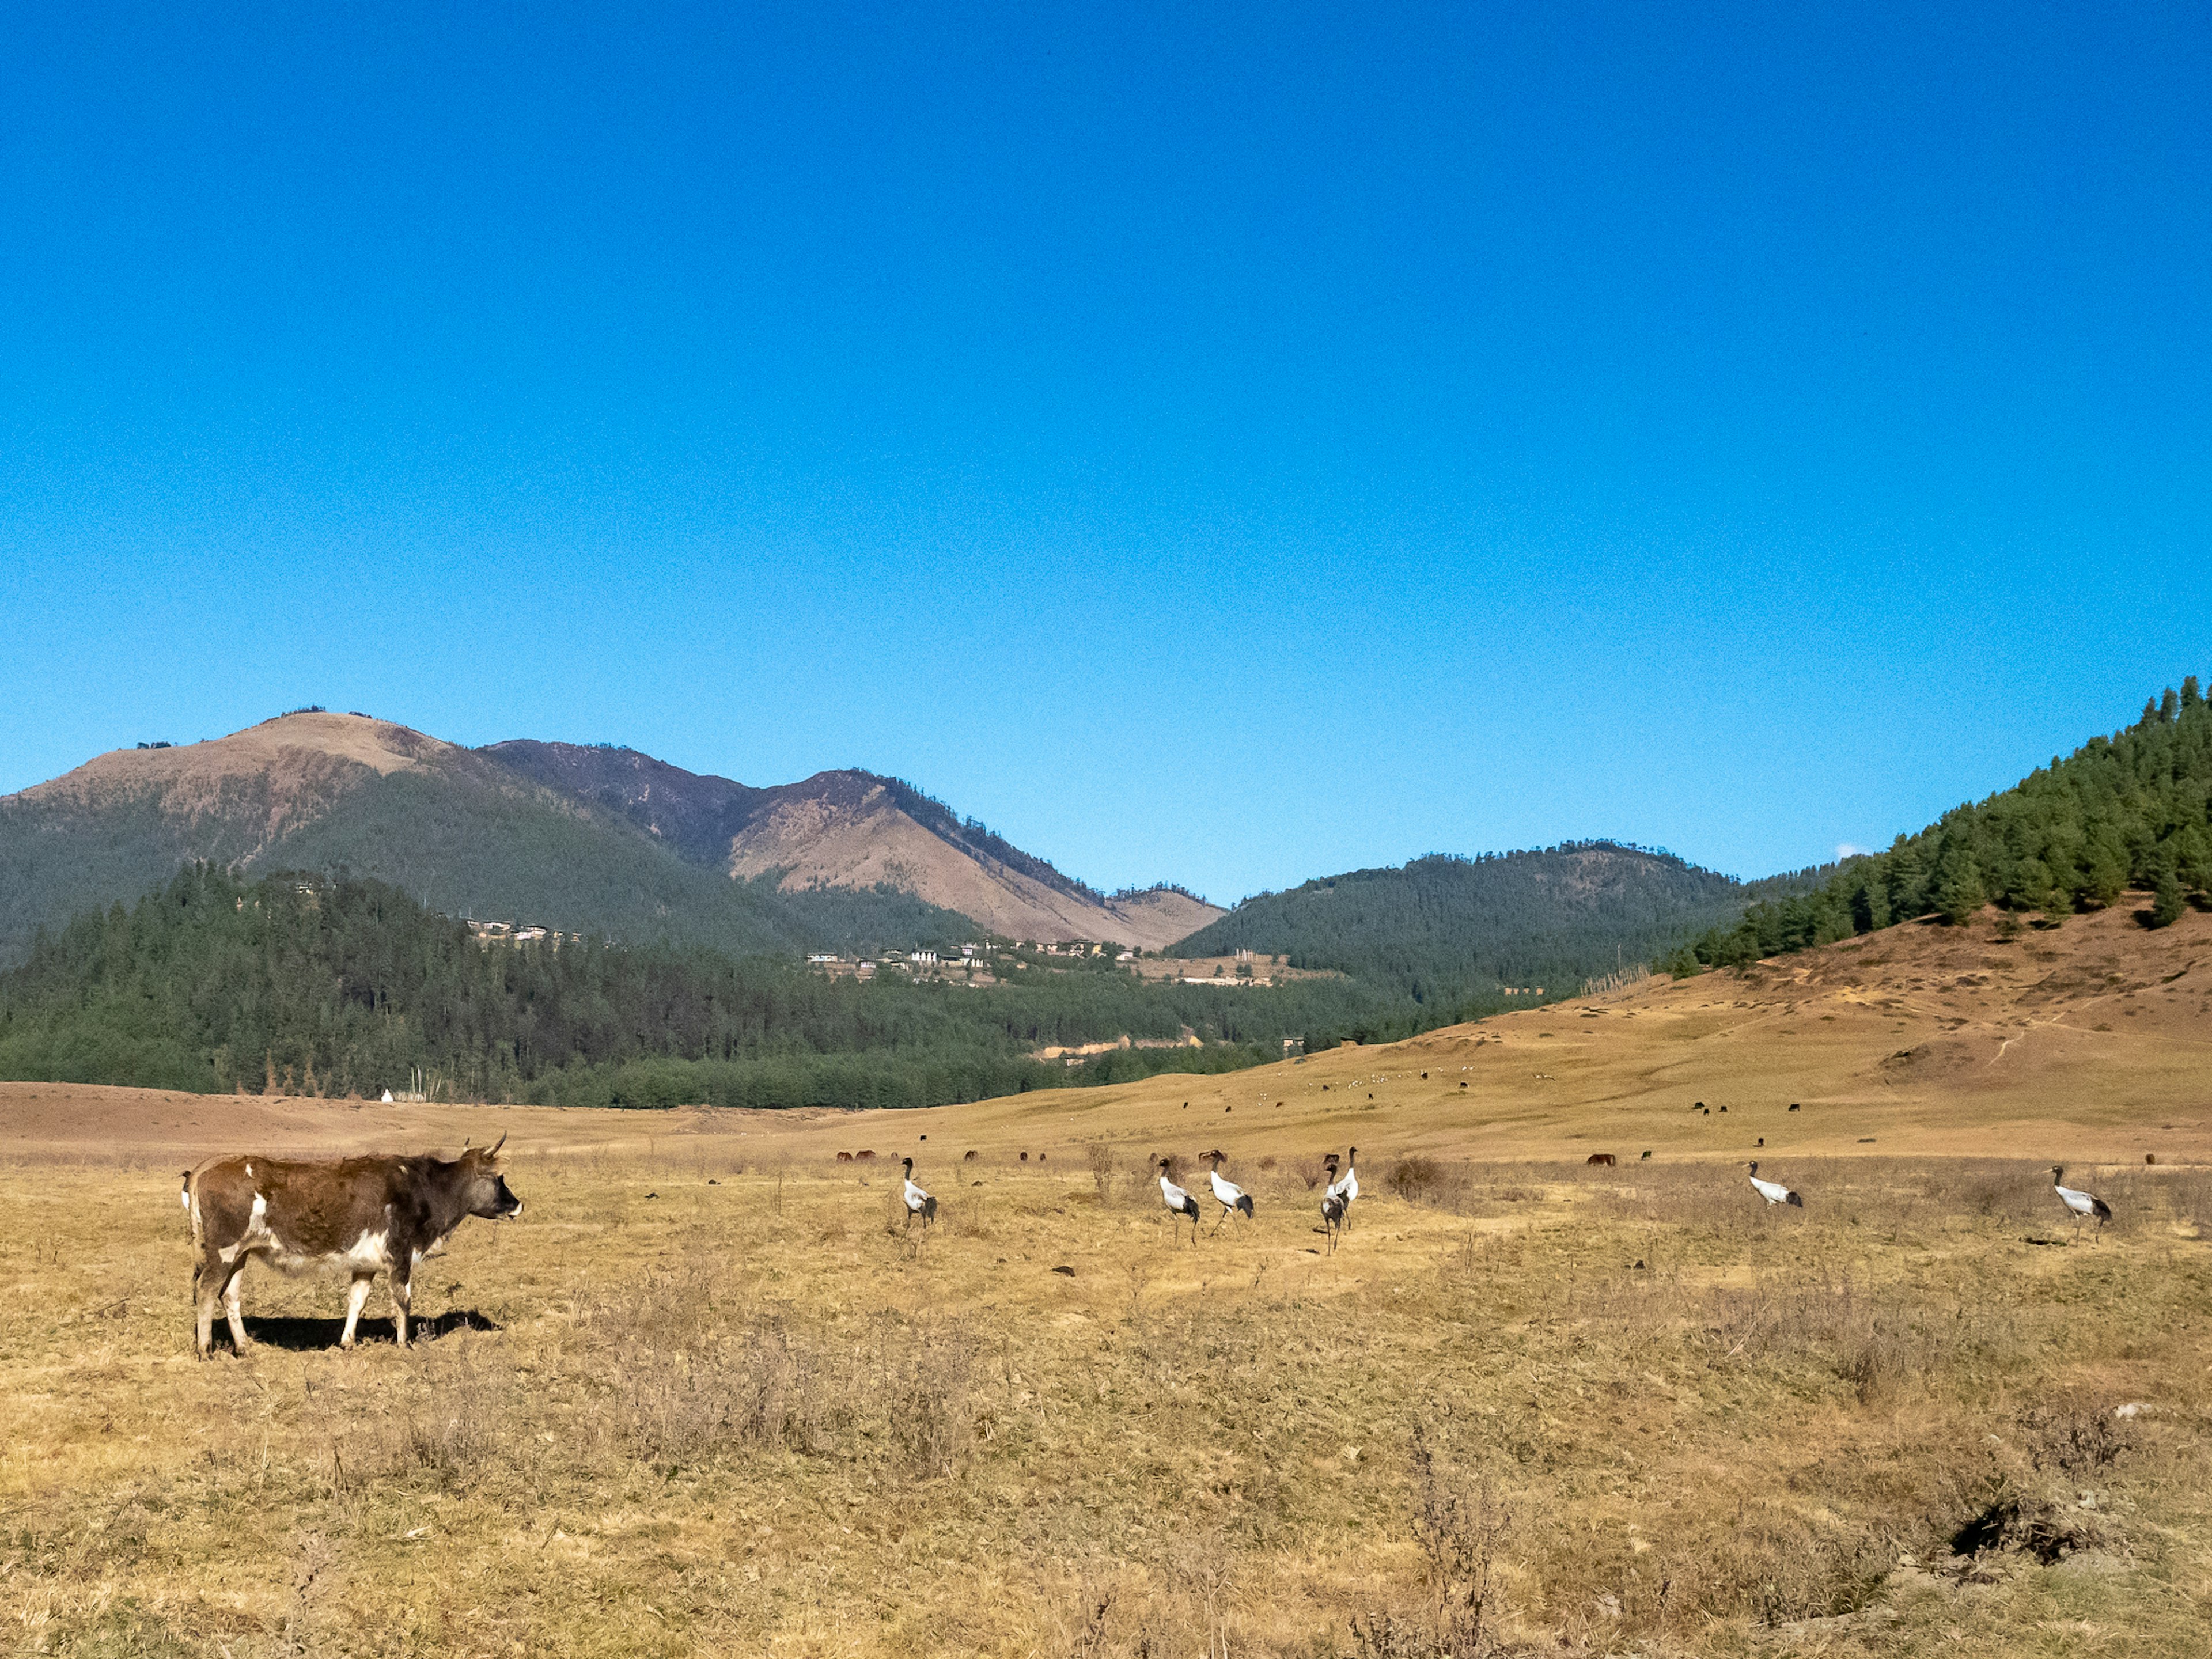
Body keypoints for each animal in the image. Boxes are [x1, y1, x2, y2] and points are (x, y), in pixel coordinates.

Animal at [181, 1141, 522, 1362]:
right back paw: (205, 1351)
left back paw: (244, 1347)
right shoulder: (401, 1254)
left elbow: (357, 1300)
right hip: (222, 1252)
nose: (518, 1204)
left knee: (230, 1295)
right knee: (206, 1291)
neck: (425, 1189)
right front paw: (404, 1345)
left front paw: (347, 1343)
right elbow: (403, 1301)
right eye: (499, 1178)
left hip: (240, 1254)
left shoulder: (366, 1262)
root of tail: (206, 1167)